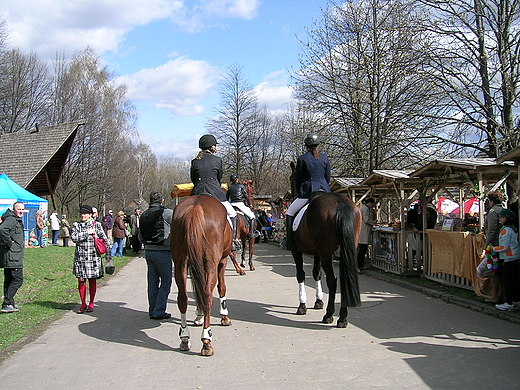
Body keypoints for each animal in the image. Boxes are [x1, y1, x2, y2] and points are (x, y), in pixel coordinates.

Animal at [172, 195, 233, 356]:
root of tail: (195, 207)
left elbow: (196, 290)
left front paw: (198, 317)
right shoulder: (222, 261)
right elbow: (221, 287)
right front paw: (224, 316)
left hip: (180, 263)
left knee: (183, 297)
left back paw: (184, 338)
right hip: (211, 262)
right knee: (207, 295)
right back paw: (206, 340)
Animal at [288, 163, 362, 328]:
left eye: (291, 178)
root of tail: (340, 202)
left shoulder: (296, 250)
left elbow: (301, 274)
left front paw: (302, 306)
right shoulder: (317, 253)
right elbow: (316, 273)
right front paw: (318, 301)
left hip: (326, 252)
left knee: (332, 281)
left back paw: (329, 315)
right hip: (346, 250)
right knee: (343, 279)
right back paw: (342, 318)